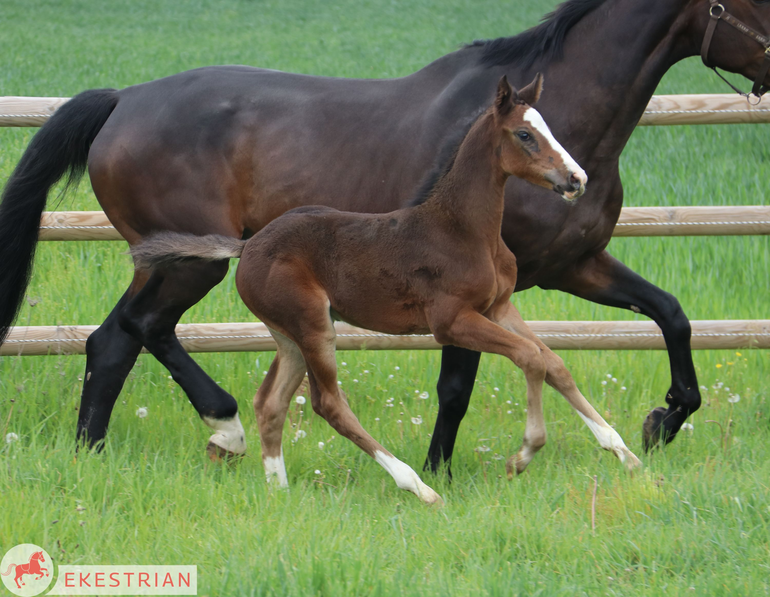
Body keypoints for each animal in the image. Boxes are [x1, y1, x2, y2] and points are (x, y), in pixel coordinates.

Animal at [135, 75, 640, 502]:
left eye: (548, 128)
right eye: (525, 135)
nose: (576, 180)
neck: (465, 229)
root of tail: (248, 244)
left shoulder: (498, 308)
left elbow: (553, 362)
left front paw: (621, 450)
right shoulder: (452, 322)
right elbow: (530, 358)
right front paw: (524, 453)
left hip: (288, 334)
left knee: (271, 403)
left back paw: (279, 490)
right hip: (313, 326)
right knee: (328, 403)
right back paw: (416, 486)